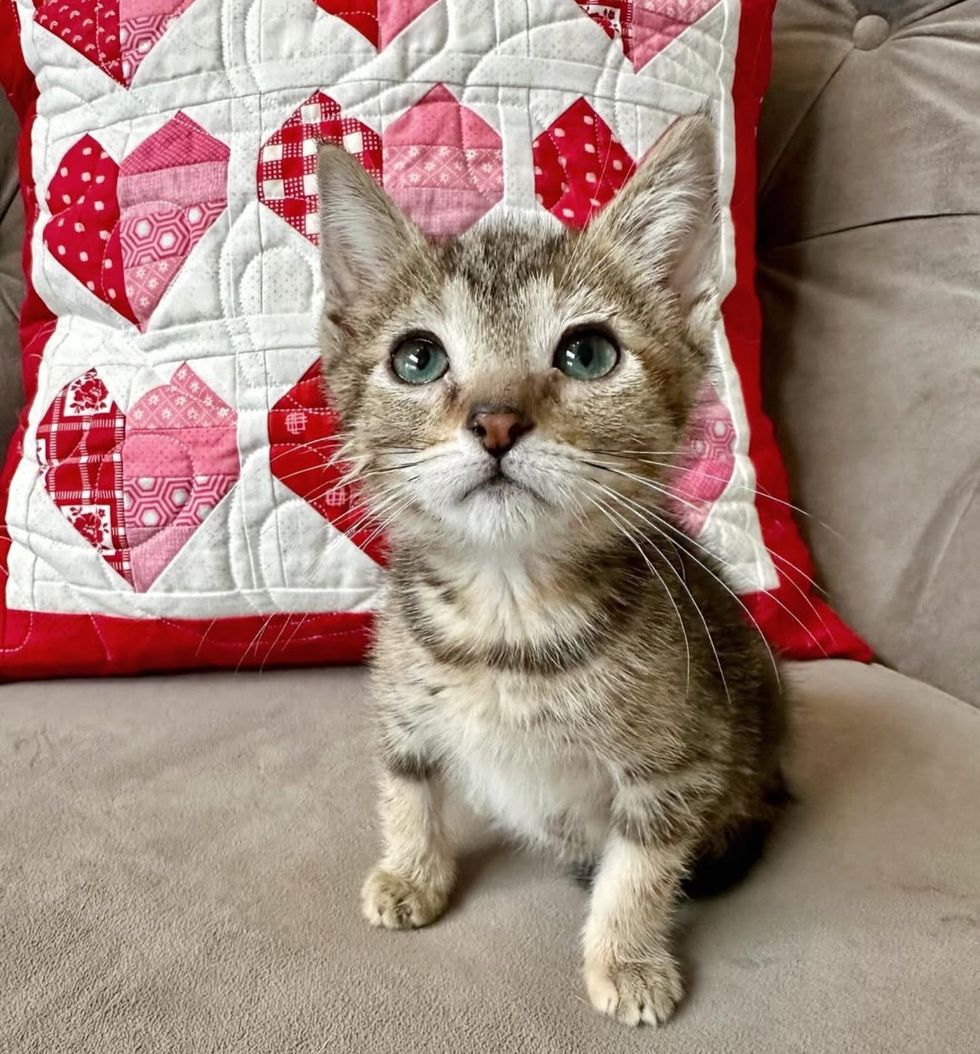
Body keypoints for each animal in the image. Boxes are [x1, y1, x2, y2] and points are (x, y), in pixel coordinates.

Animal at [316, 117, 788, 1028]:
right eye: (418, 359)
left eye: (589, 353)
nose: (496, 420)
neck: (506, 622)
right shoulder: (400, 697)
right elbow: (406, 787)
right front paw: (410, 872)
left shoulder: (680, 763)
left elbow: (640, 870)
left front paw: (627, 958)